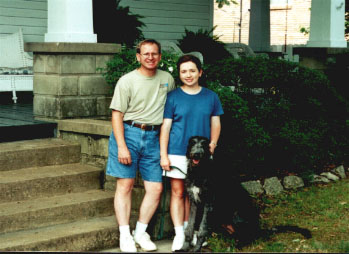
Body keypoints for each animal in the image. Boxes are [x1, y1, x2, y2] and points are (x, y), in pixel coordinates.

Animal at [179, 136, 310, 251]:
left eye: (204, 144)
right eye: (192, 143)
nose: (196, 154)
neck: (200, 171)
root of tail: (258, 229)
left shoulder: (208, 204)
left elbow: (202, 230)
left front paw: (196, 249)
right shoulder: (193, 202)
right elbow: (189, 228)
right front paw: (184, 247)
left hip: (236, 215)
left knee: (249, 237)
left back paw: (236, 246)